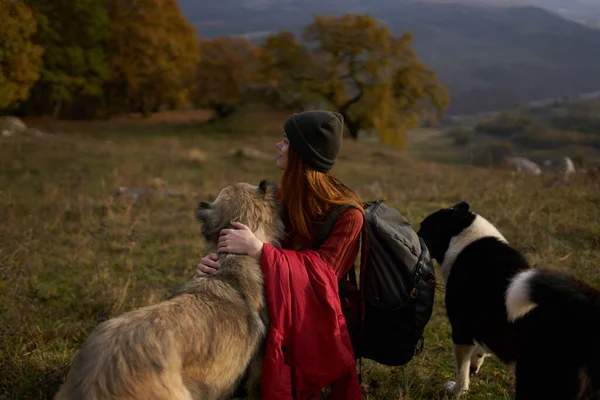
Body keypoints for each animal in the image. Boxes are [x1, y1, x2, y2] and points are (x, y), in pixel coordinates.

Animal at [418, 203, 600, 400]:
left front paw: (456, 390)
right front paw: (476, 363)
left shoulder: (461, 330)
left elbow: (462, 371)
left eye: (424, 227)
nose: (415, 233)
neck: (463, 237)